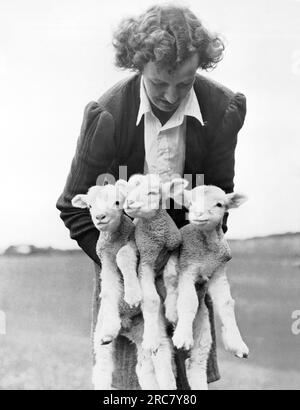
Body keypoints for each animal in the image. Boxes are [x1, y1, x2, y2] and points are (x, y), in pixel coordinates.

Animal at [163, 181, 250, 390]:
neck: (207, 248)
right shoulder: (187, 269)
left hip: (203, 327)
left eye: (219, 204)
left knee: (195, 364)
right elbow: (187, 301)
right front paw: (183, 337)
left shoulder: (218, 272)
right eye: (190, 203)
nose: (199, 214)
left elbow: (226, 304)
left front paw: (236, 343)